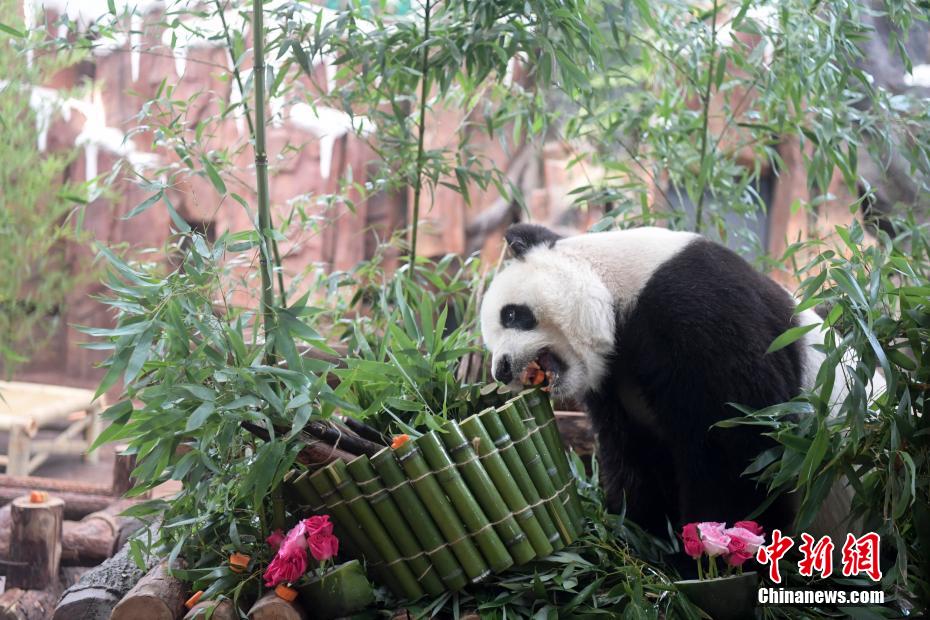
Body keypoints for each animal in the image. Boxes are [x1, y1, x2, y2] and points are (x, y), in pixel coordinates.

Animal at [478, 223, 832, 536]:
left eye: (511, 314)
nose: (502, 370)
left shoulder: (700, 309)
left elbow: (745, 443)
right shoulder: (614, 387)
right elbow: (633, 458)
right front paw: (637, 535)